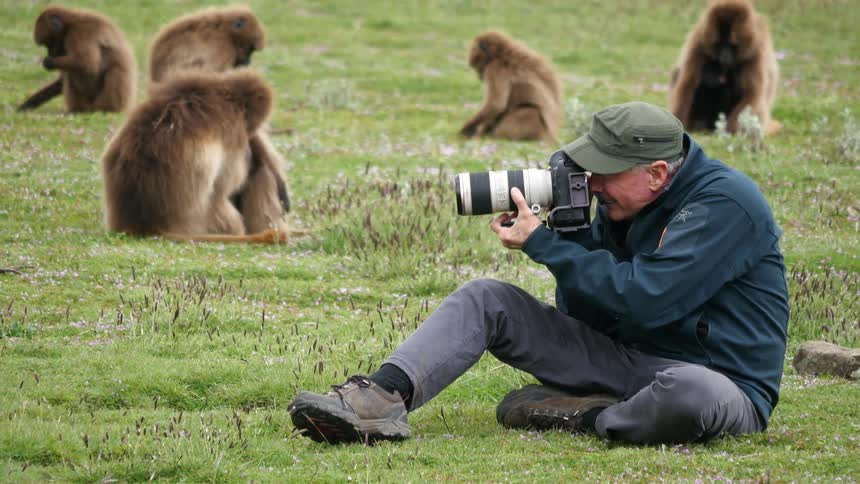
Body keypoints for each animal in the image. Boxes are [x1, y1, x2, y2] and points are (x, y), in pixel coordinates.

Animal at [668, 0, 780, 135]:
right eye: (719, 44)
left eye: (731, 45)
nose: (724, 56)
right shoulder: (698, 42)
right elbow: (687, 83)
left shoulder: (756, 52)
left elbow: (753, 94)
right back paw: (700, 123)